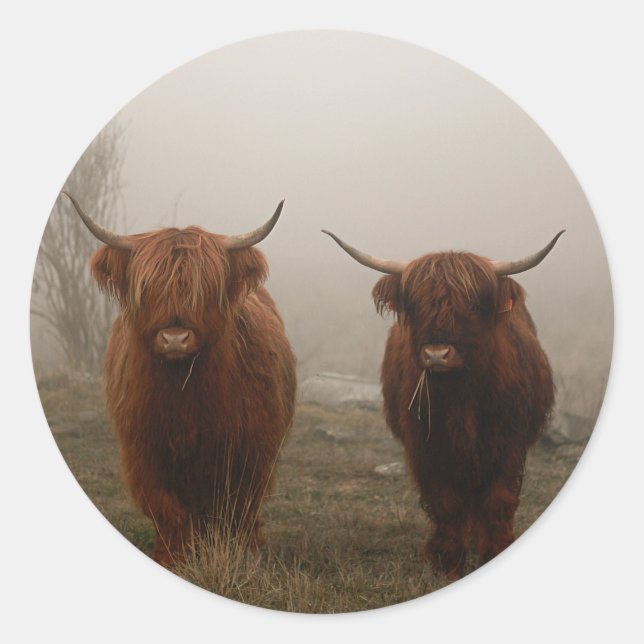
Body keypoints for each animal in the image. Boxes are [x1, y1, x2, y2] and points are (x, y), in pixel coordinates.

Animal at [62, 191, 296, 566]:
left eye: (205, 290)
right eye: (148, 288)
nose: (174, 338)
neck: (184, 393)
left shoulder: (250, 453)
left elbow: (236, 510)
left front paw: (240, 556)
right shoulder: (145, 453)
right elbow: (168, 511)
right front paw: (173, 559)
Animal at [323, 228, 563, 579]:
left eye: (473, 304)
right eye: (416, 305)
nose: (437, 354)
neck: (461, 398)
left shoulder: (508, 444)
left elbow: (498, 500)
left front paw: (495, 550)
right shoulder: (428, 446)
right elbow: (446, 502)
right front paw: (446, 563)